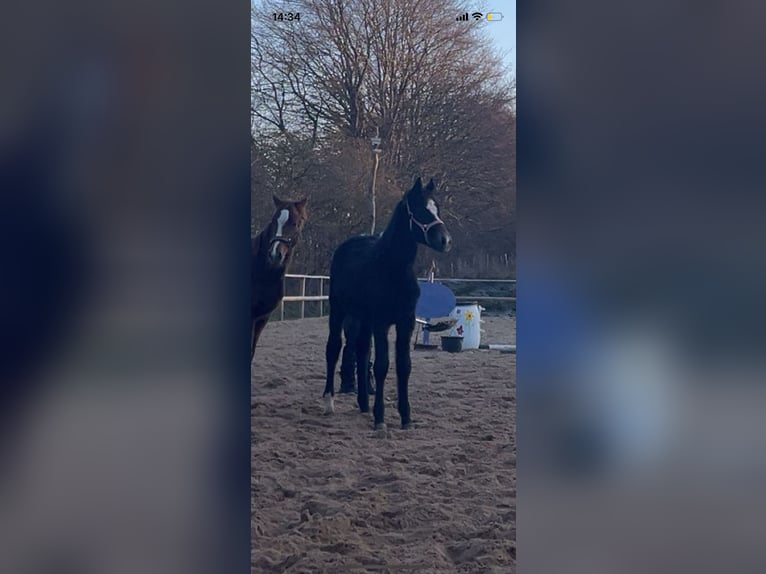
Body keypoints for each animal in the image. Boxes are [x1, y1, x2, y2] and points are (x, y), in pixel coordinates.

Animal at [323, 177, 452, 429]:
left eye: (437, 208)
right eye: (420, 210)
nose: (445, 240)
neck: (392, 269)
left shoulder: (405, 322)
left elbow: (404, 366)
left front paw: (405, 417)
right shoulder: (381, 322)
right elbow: (382, 365)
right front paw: (381, 418)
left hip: (363, 319)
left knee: (362, 351)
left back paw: (364, 404)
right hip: (338, 310)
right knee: (333, 348)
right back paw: (329, 402)